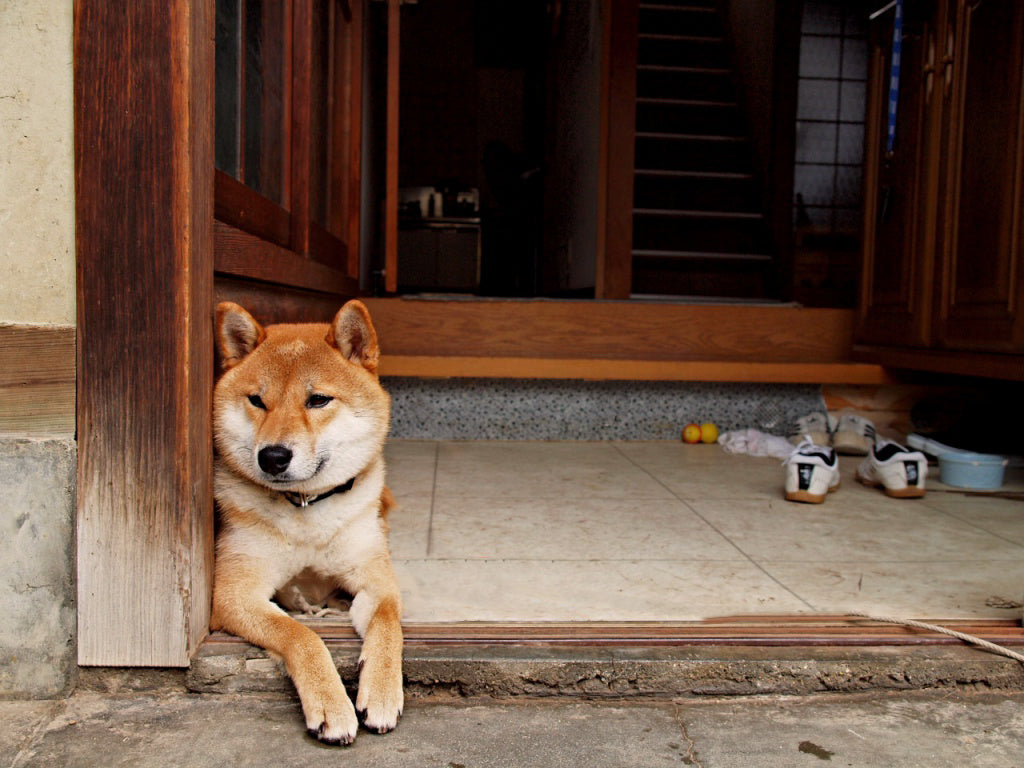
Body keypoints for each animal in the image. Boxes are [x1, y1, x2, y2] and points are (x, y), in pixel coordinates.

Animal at [209, 299, 401, 745]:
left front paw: (383, 690)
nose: (273, 456)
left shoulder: (376, 580)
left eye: (317, 400)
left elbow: (388, 623)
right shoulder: (234, 594)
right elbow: (300, 635)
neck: (307, 511)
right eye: (257, 400)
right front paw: (330, 703)